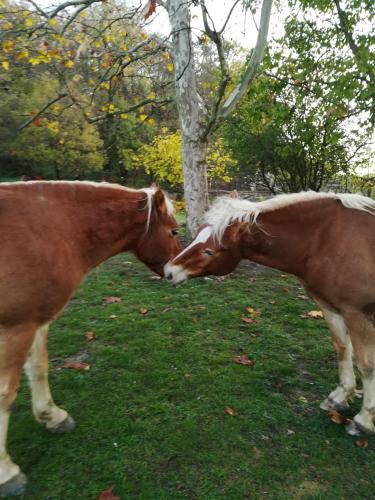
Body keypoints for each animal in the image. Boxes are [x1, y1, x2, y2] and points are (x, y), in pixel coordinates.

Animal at [0, 181, 182, 496]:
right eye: (173, 231)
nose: (177, 273)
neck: (49, 230)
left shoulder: (35, 321)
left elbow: (38, 368)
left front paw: (52, 416)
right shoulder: (16, 328)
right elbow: (4, 395)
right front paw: (7, 472)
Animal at [165, 191, 375, 438]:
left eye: (209, 251)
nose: (169, 271)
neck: (327, 239)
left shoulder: (357, 314)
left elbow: (366, 366)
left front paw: (364, 420)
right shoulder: (331, 308)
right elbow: (342, 350)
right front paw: (340, 397)